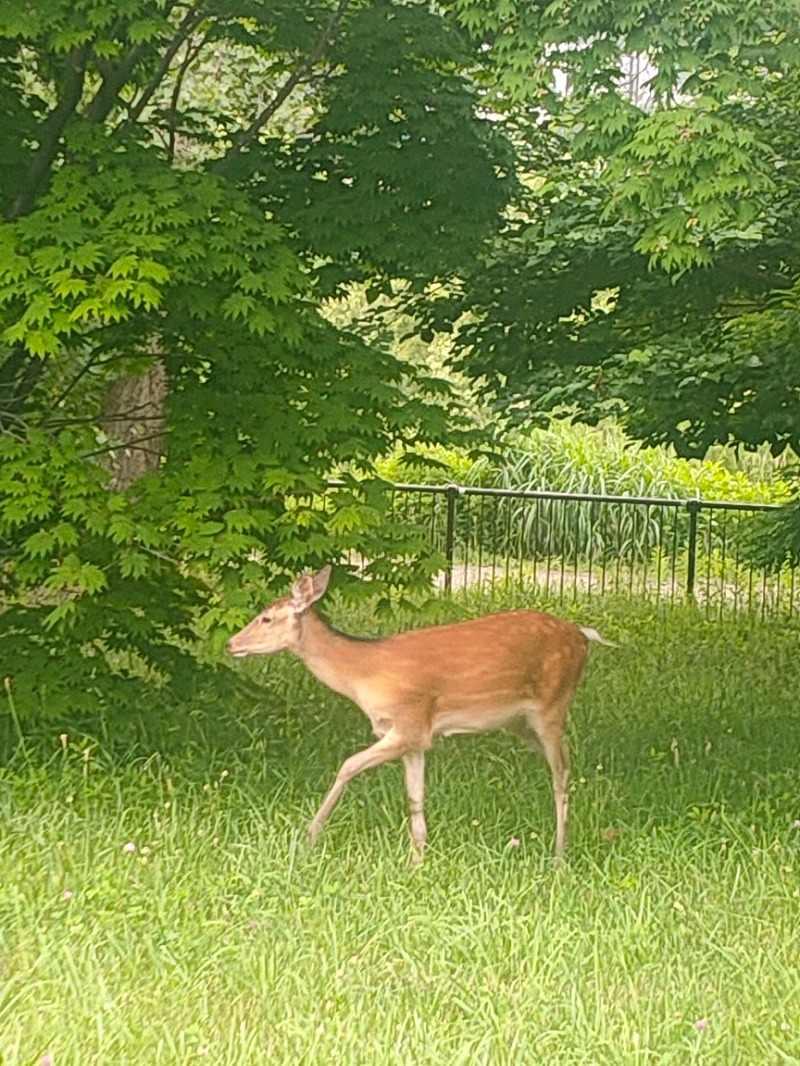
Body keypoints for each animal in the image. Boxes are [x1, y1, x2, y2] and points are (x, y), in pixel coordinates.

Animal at [228, 567, 618, 857]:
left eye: (265, 618)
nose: (231, 643)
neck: (363, 674)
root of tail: (583, 635)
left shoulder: (410, 722)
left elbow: (348, 765)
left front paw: (310, 836)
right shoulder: (412, 740)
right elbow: (415, 797)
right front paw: (417, 859)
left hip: (553, 705)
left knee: (561, 774)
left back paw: (559, 856)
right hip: (520, 723)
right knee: (567, 763)